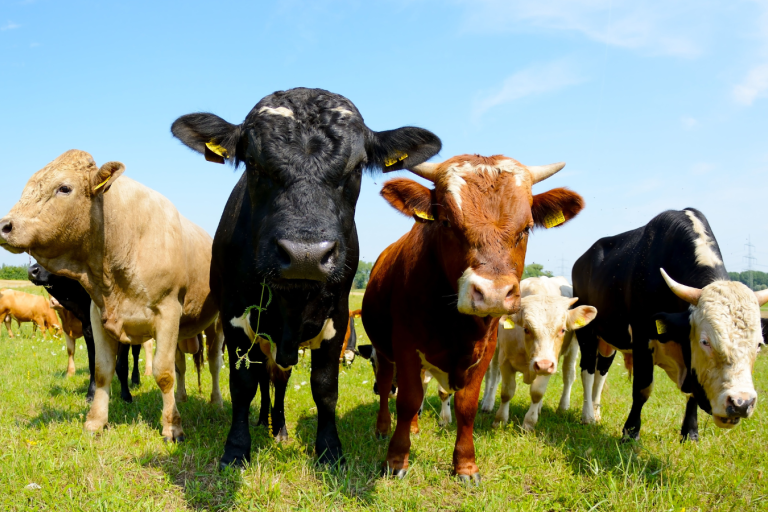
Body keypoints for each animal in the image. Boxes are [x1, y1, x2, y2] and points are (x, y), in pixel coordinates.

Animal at [0, 149, 225, 442]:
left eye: (64, 188)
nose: (5, 226)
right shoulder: (98, 316)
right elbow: (102, 370)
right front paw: (95, 421)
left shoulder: (167, 312)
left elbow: (163, 372)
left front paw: (172, 427)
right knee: (181, 365)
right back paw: (182, 397)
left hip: (216, 323)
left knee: (214, 363)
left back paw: (216, 402)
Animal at [171, 87, 441, 468]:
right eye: (253, 163)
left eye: (357, 167)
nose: (305, 255)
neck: (292, 300)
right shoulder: (234, 316)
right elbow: (243, 384)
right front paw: (236, 448)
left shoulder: (337, 318)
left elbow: (325, 387)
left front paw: (329, 449)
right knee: (265, 378)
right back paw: (264, 421)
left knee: (279, 379)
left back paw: (279, 427)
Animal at [362, 154, 584, 483]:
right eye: (446, 222)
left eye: (526, 228)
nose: (493, 293)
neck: (455, 323)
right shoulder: (405, 346)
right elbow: (408, 399)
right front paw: (396, 459)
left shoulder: (486, 350)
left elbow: (466, 405)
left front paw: (465, 465)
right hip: (383, 349)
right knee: (388, 382)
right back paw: (382, 427)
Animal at [480, 276, 596, 430]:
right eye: (526, 329)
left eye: (562, 330)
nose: (543, 365)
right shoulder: (505, 360)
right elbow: (506, 392)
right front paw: (499, 420)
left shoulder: (551, 363)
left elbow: (537, 393)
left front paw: (529, 423)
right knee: (493, 375)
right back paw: (487, 402)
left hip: (573, 349)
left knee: (568, 375)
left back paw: (561, 407)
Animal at [573, 208, 768, 441]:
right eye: (705, 341)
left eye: (758, 345)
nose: (741, 403)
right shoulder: (642, 337)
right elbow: (642, 388)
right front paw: (630, 432)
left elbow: (692, 393)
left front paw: (690, 433)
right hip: (587, 332)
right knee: (587, 370)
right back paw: (587, 415)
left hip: (609, 339)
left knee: (601, 372)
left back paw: (596, 413)